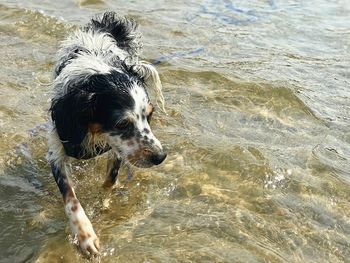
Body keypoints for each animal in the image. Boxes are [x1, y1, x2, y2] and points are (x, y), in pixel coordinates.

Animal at [47, 11, 167, 256]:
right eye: (121, 123)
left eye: (149, 115)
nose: (160, 157)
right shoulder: (57, 147)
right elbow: (70, 197)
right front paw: (85, 235)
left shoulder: (118, 149)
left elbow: (110, 181)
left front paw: (105, 204)